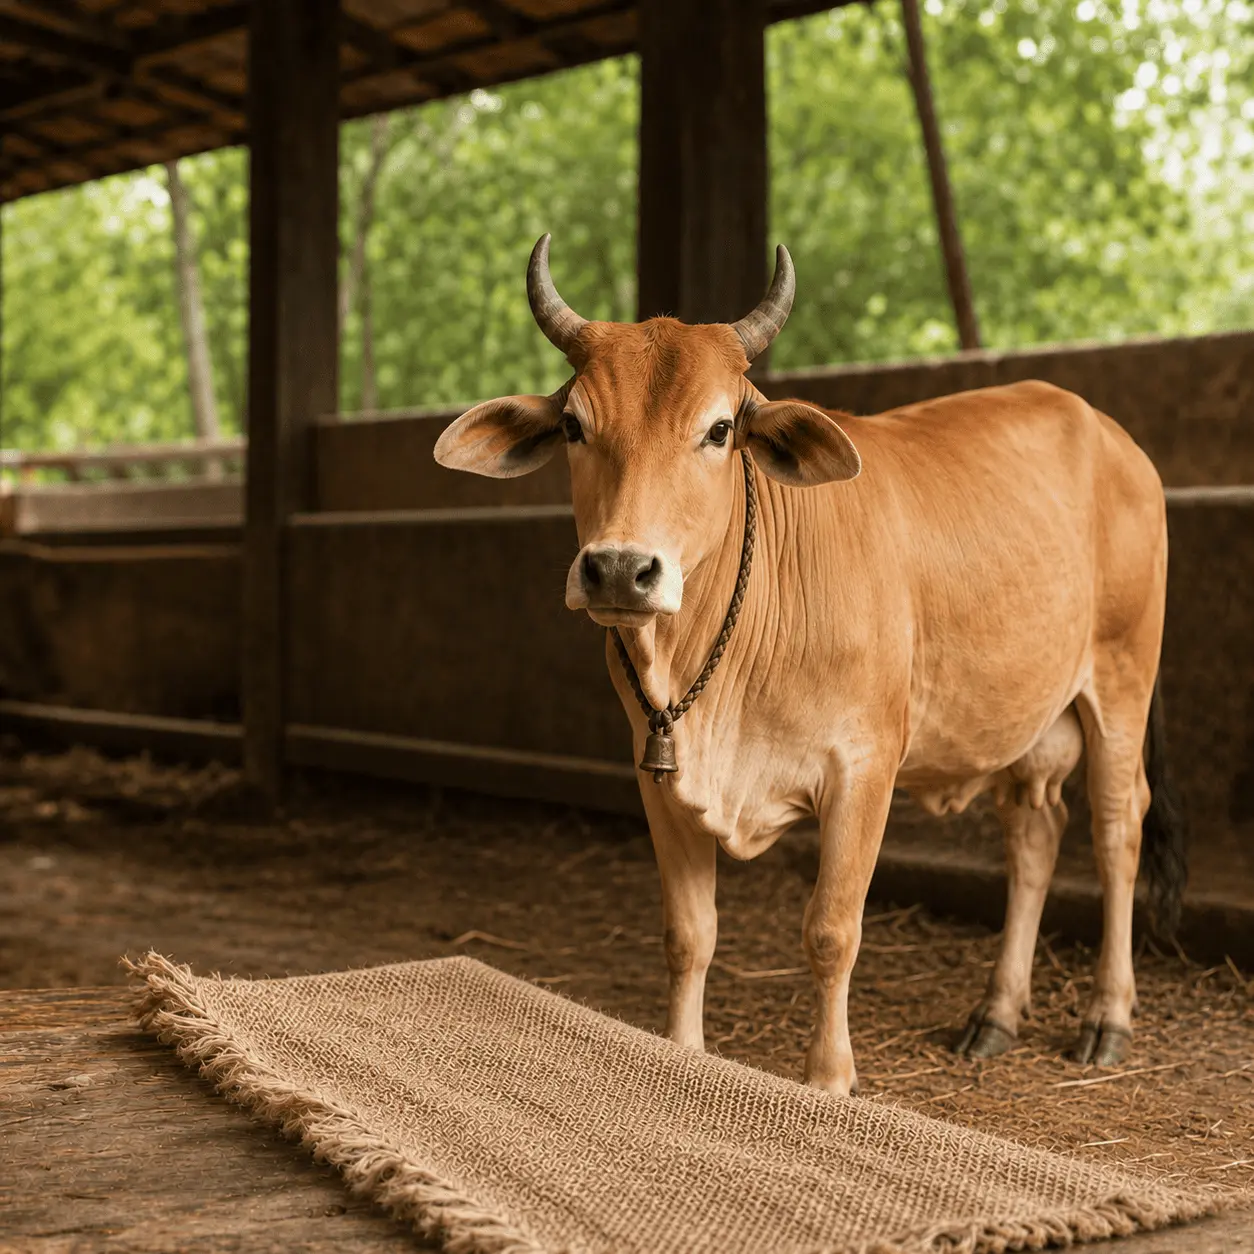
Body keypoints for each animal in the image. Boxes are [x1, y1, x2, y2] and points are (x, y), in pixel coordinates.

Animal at [434, 235, 1188, 1096]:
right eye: (571, 425)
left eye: (718, 430)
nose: (621, 570)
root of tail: (1111, 435)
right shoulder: (657, 772)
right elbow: (688, 933)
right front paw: (681, 1054)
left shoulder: (863, 768)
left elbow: (831, 929)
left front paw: (828, 1078)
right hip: (1028, 720)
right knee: (1035, 831)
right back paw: (995, 1013)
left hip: (1121, 681)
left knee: (1116, 828)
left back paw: (1108, 1017)